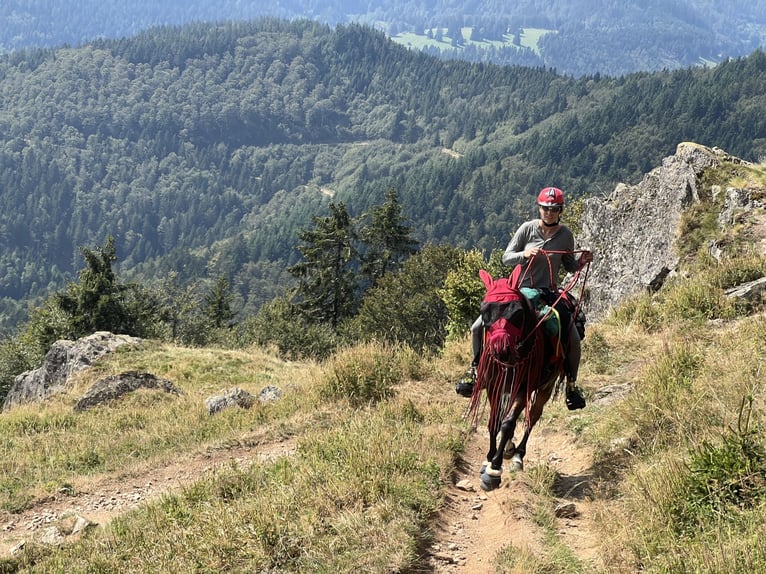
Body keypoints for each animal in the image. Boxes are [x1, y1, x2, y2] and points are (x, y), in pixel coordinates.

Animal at [467, 267, 565, 491]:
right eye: (484, 311)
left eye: (518, 313)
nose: (501, 350)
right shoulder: (494, 386)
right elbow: (495, 421)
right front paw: (489, 458)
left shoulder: (523, 389)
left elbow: (508, 423)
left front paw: (494, 469)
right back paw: (509, 449)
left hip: (545, 388)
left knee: (532, 417)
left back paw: (518, 455)